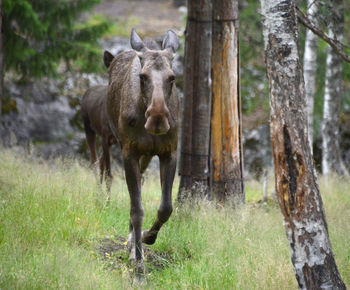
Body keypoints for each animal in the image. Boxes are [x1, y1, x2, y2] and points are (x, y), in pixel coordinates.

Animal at [104, 28, 179, 276]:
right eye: (142, 77)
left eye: (172, 77)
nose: (157, 118)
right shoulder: (130, 152)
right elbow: (137, 209)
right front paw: (138, 265)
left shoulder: (169, 152)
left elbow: (165, 207)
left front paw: (147, 238)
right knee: (133, 200)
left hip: (147, 156)